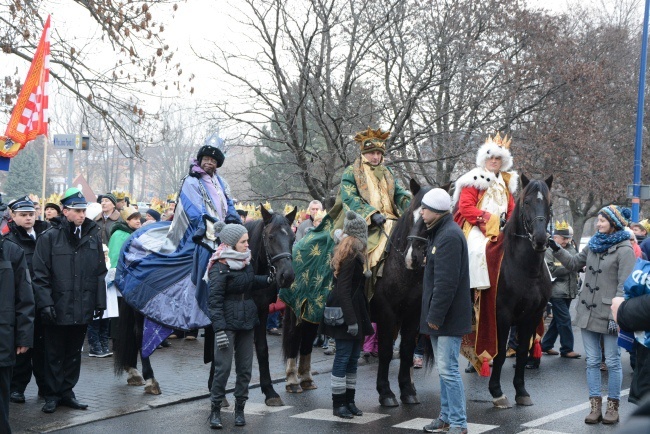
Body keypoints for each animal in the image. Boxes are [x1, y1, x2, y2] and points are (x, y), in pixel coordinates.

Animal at [370, 177, 430, 406]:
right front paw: (386, 392)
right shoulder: (386, 314)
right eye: (413, 213)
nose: (413, 257)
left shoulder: (412, 314)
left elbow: (406, 350)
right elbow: (386, 351)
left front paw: (407, 390)